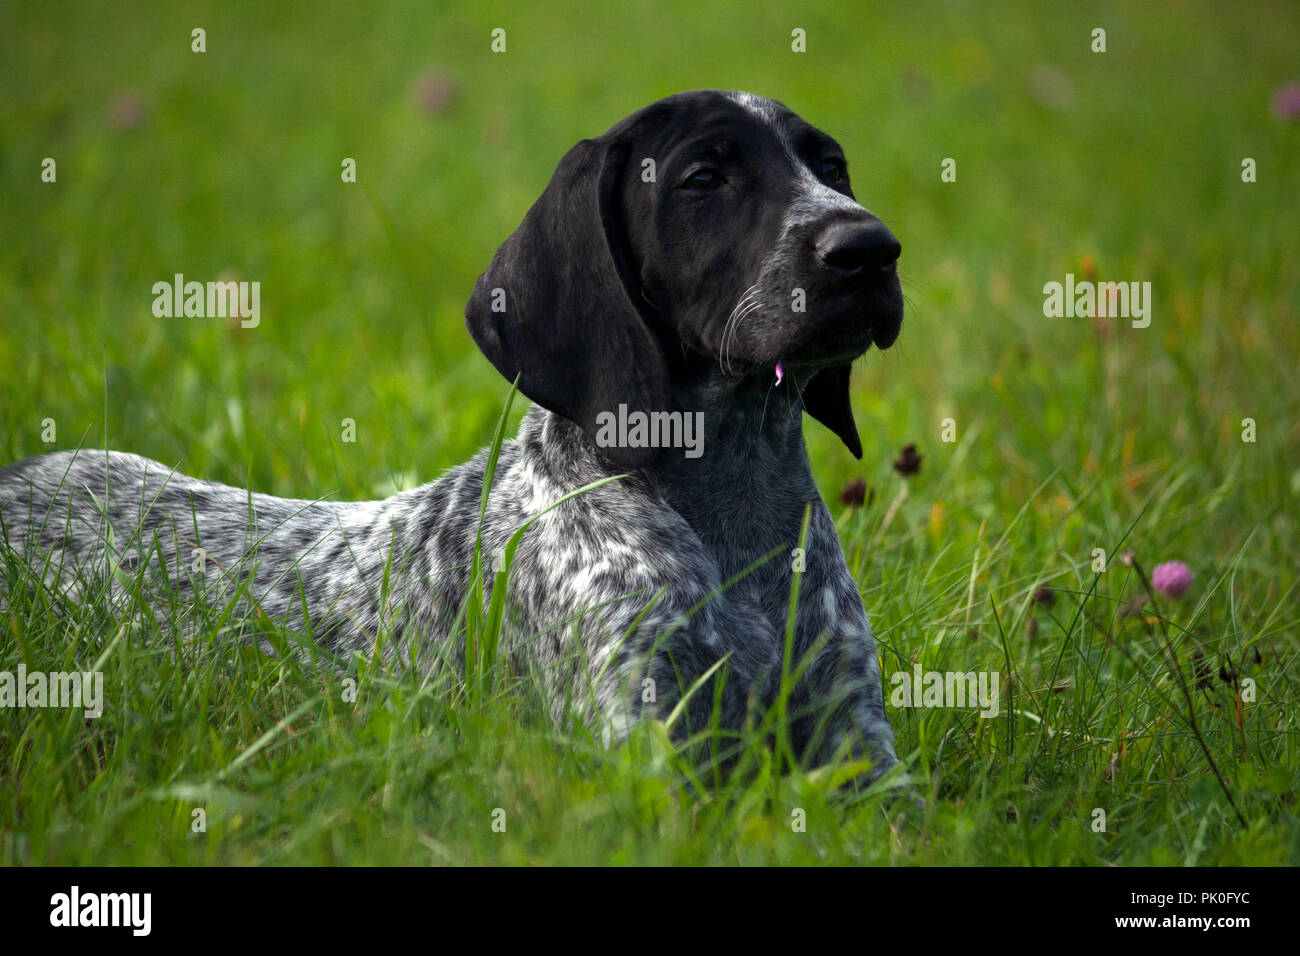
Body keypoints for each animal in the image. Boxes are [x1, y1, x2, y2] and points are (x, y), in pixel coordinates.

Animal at [2, 87, 904, 780]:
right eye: (705, 177)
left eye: (832, 170)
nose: (871, 247)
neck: (731, 511)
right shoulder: (650, 749)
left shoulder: (865, 760)